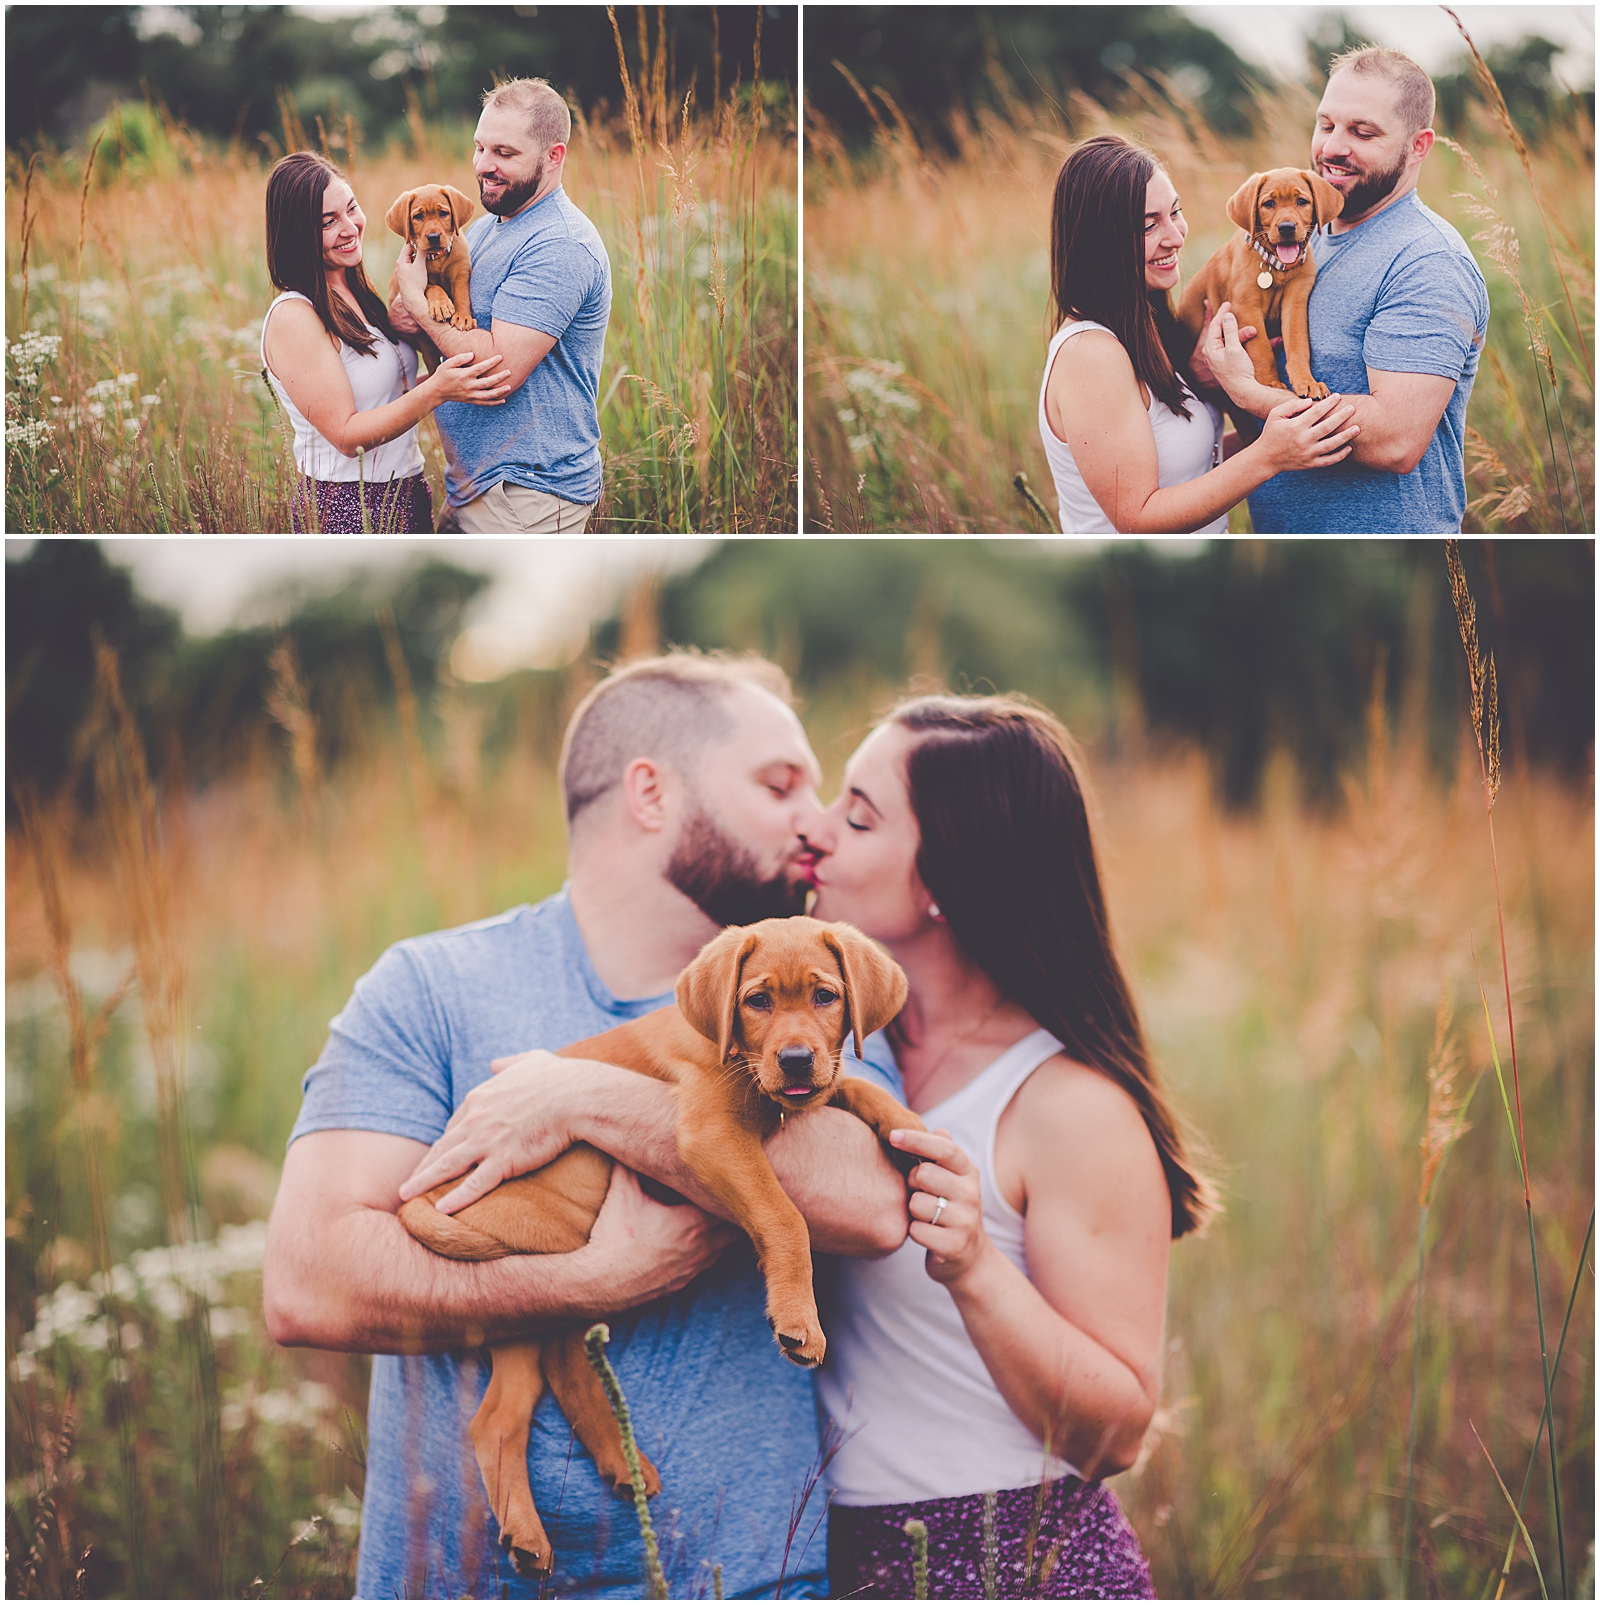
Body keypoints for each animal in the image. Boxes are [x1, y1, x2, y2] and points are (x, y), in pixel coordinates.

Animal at [385, 182, 478, 332]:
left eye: (443, 213)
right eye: (418, 216)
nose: (433, 237)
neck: (437, 257)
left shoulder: (461, 275)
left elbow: (462, 296)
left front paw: (463, 317)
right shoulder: (422, 279)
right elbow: (434, 288)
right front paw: (441, 305)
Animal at [1181, 166, 1341, 401]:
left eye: (1302, 201)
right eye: (1269, 203)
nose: (1286, 228)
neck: (1276, 267)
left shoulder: (1295, 303)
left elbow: (1298, 346)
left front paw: (1306, 381)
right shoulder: (1246, 307)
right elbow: (1261, 349)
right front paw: (1269, 383)